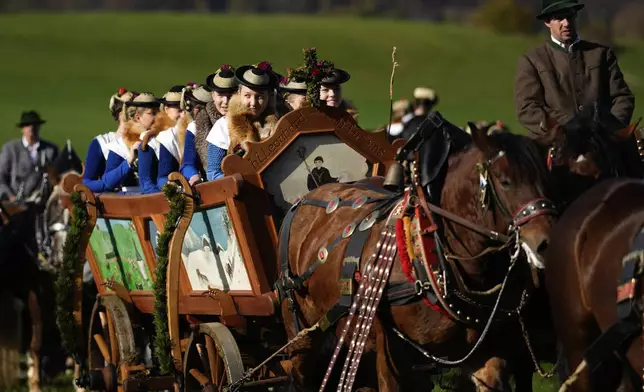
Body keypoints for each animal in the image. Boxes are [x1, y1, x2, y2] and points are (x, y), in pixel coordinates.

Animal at [280, 120, 556, 392]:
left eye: (547, 179)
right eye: (505, 181)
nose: (545, 242)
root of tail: (305, 199)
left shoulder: (486, 351)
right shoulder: (391, 357)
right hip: (301, 333)